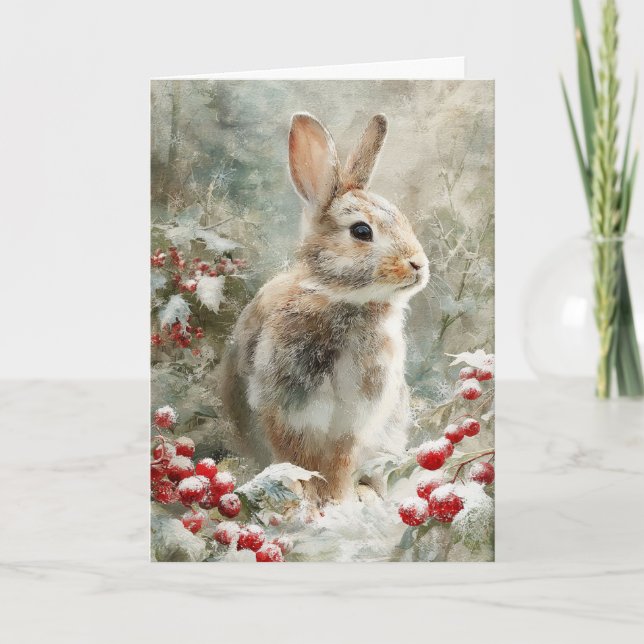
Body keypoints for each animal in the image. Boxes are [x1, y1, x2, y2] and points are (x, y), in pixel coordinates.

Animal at [219, 112, 429, 505]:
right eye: (361, 231)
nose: (418, 265)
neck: (343, 299)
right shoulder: (289, 413)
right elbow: (301, 461)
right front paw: (312, 499)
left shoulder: (354, 423)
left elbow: (339, 463)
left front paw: (339, 499)